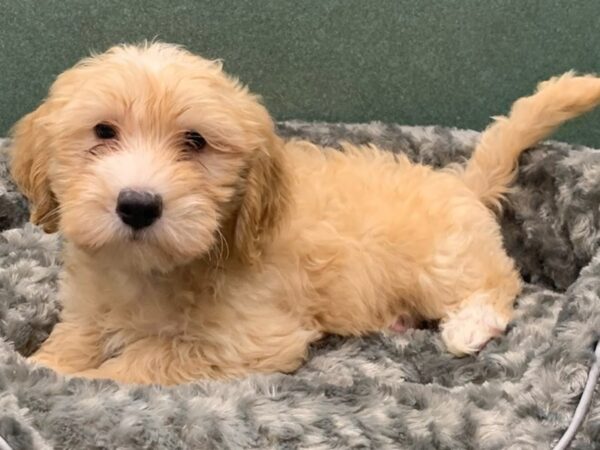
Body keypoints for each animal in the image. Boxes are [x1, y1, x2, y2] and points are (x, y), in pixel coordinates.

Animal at [10, 44, 600, 384]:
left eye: (195, 142)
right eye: (102, 131)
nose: (137, 204)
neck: (151, 270)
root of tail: (459, 182)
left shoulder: (250, 337)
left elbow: (146, 360)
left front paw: (87, 380)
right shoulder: (92, 307)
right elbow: (77, 340)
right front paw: (47, 365)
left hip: (446, 262)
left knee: (498, 284)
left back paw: (469, 327)